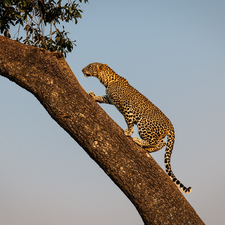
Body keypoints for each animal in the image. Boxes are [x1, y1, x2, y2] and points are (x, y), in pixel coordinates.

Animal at [82, 62, 192, 194]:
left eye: (90, 66)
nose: (82, 70)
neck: (107, 80)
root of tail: (170, 124)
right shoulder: (109, 98)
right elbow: (103, 98)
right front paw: (94, 96)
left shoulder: (126, 107)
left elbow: (129, 120)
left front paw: (129, 132)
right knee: (161, 143)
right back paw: (147, 148)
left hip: (144, 125)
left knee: (157, 142)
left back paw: (138, 141)